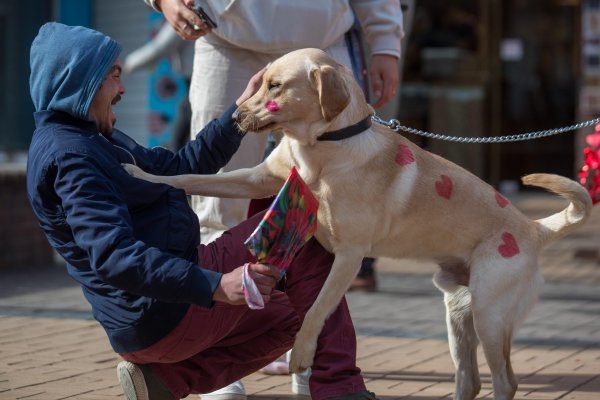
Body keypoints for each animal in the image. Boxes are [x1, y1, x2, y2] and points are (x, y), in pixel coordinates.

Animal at [124, 47, 592, 400]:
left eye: (276, 87)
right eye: (260, 82)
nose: (236, 118)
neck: (322, 148)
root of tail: (534, 229)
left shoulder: (348, 256)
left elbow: (316, 311)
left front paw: (301, 355)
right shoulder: (258, 179)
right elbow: (190, 178)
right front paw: (141, 175)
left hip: (490, 317)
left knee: (505, 382)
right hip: (459, 318)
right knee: (471, 380)